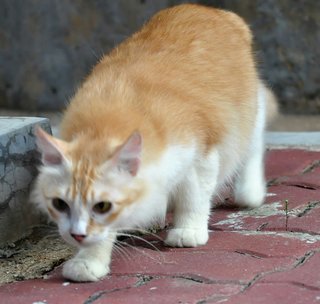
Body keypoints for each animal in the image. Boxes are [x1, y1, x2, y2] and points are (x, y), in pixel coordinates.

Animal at [31, 3, 278, 282]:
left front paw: (188, 230)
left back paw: (250, 191)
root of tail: (207, 9)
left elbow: (194, 197)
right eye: (59, 204)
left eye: (102, 206)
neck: (104, 125)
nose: (76, 235)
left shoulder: (201, 152)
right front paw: (89, 261)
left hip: (247, 110)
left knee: (253, 143)